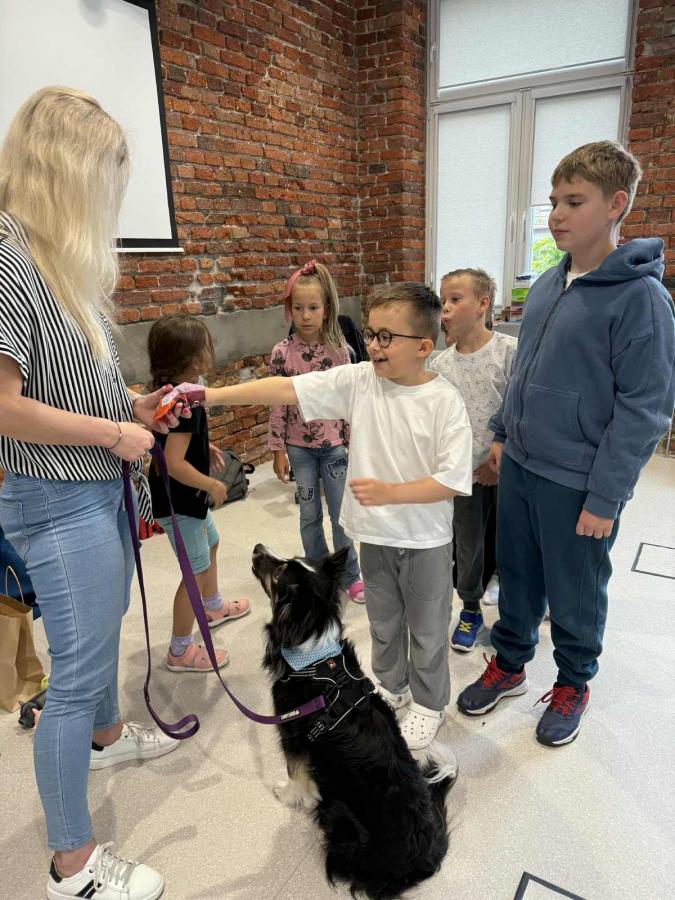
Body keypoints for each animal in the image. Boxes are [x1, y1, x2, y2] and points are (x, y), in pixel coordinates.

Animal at [252, 543, 457, 900]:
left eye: (277, 573)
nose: (257, 548)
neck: (313, 655)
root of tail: (424, 860)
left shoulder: (291, 732)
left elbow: (295, 773)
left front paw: (288, 793)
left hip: (338, 815)